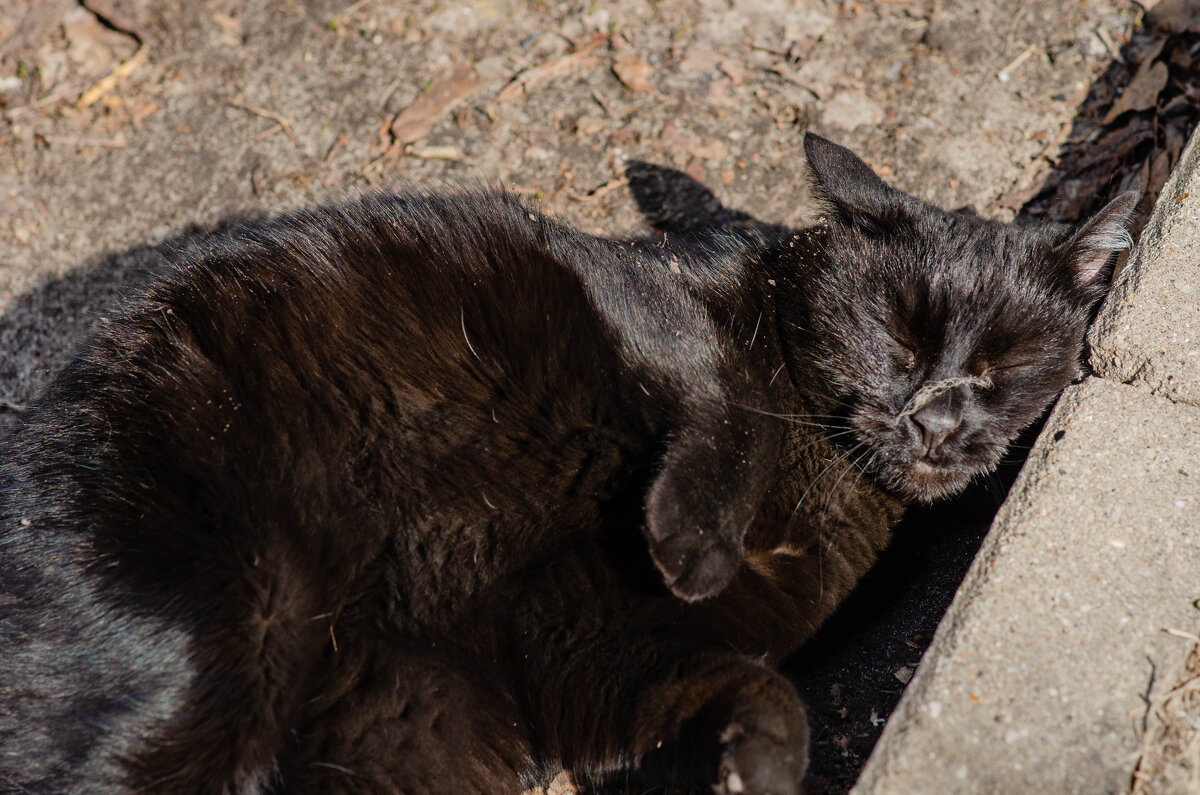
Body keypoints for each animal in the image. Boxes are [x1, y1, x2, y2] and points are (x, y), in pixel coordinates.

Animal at [0, 133, 1128, 792]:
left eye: (1004, 363)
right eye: (896, 335)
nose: (938, 422)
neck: (836, 486)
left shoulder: (592, 661)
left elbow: (759, 689)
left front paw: (756, 767)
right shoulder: (633, 296)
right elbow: (726, 397)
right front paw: (693, 547)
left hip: (408, 738)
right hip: (232, 635)